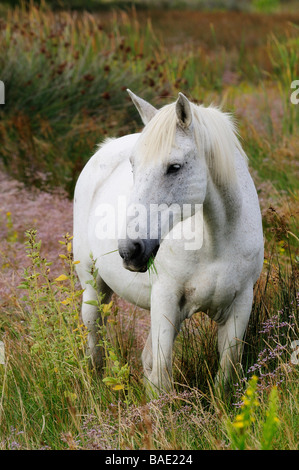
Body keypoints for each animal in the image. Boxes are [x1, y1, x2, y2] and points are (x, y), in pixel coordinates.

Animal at [73, 91, 264, 392]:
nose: (129, 251)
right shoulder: (166, 297)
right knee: (95, 344)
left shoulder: (241, 303)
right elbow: (162, 375)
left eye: (174, 167)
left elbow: (225, 372)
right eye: (133, 166)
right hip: (93, 288)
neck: (216, 244)